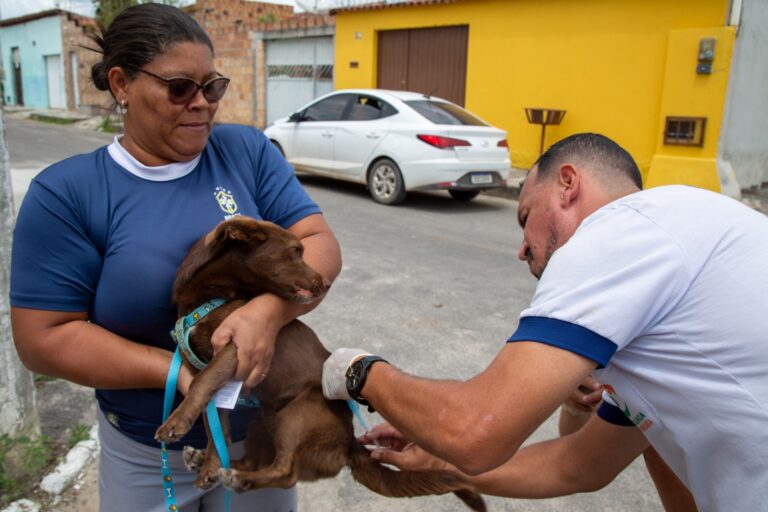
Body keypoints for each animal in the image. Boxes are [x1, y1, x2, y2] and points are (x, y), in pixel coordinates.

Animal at [154, 217, 486, 512]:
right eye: (295, 251)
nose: (326, 283)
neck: (214, 294)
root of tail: (349, 440)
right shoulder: (213, 372)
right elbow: (214, 423)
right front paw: (209, 465)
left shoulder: (239, 344)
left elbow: (203, 386)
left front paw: (175, 423)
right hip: (263, 418)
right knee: (258, 460)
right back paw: (216, 466)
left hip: (298, 414)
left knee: (286, 472)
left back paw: (239, 478)